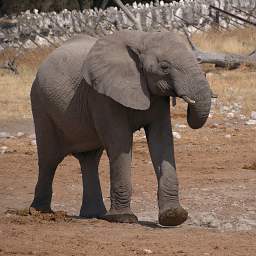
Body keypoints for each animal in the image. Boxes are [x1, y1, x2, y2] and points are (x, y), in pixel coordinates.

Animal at [29, 30, 212, 226]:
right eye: (164, 67)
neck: (142, 39)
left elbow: (161, 140)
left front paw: (173, 217)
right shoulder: (102, 95)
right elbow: (120, 141)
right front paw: (123, 218)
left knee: (89, 160)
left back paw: (93, 214)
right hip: (40, 104)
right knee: (49, 159)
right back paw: (40, 212)